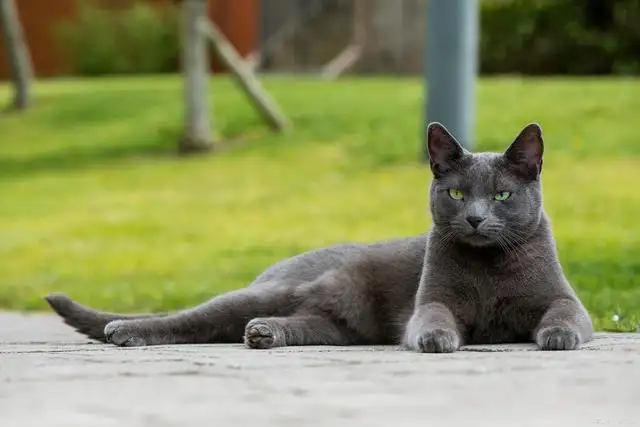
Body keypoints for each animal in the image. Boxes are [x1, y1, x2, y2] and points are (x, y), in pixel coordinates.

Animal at [46, 122, 596, 352]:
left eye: (502, 196)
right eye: (458, 194)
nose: (477, 219)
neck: (489, 269)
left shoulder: (566, 298)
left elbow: (566, 315)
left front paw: (557, 336)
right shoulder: (432, 298)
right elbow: (435, 316)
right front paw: (437, 338)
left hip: (340, 325)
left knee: (285, 325)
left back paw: (264, 333)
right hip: (273, 290)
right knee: (195, 318)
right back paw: (125, 330)